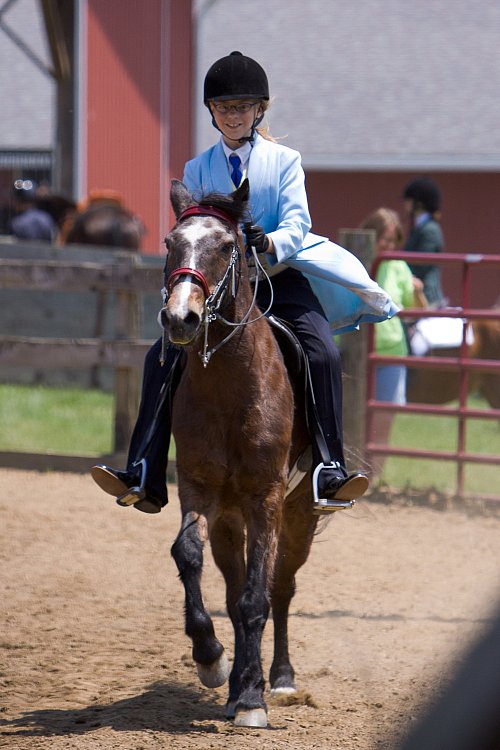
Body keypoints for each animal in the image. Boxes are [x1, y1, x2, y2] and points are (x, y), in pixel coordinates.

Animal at [161, 181, 320, 728]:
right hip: (231, 521)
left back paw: (280, 679)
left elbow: (258, 597)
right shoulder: (199, 489)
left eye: (228, 245)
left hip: (298, 515)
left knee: (281, 587)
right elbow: (188, 555)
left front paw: (253, 698)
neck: (231, 385)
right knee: (234, 591)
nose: (180, 317)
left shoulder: (265, 498)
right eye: (170, 242)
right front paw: (211, 660)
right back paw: (233, 683)